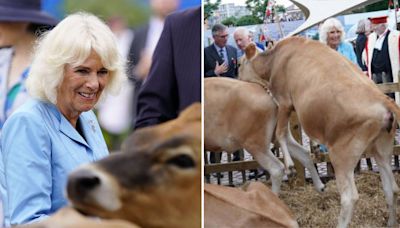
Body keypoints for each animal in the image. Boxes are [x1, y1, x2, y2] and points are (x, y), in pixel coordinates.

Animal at [241, 36, 400, 227]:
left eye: (239, 63)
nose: (237, 78)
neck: (274, 59)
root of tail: (384, 100)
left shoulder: (284, 100)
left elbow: (281, 134)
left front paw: (290, 166)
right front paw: (314, 148)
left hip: (342, 155)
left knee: (349, 197)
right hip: (382, 149)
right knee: (391, 188)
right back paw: (391, 222)